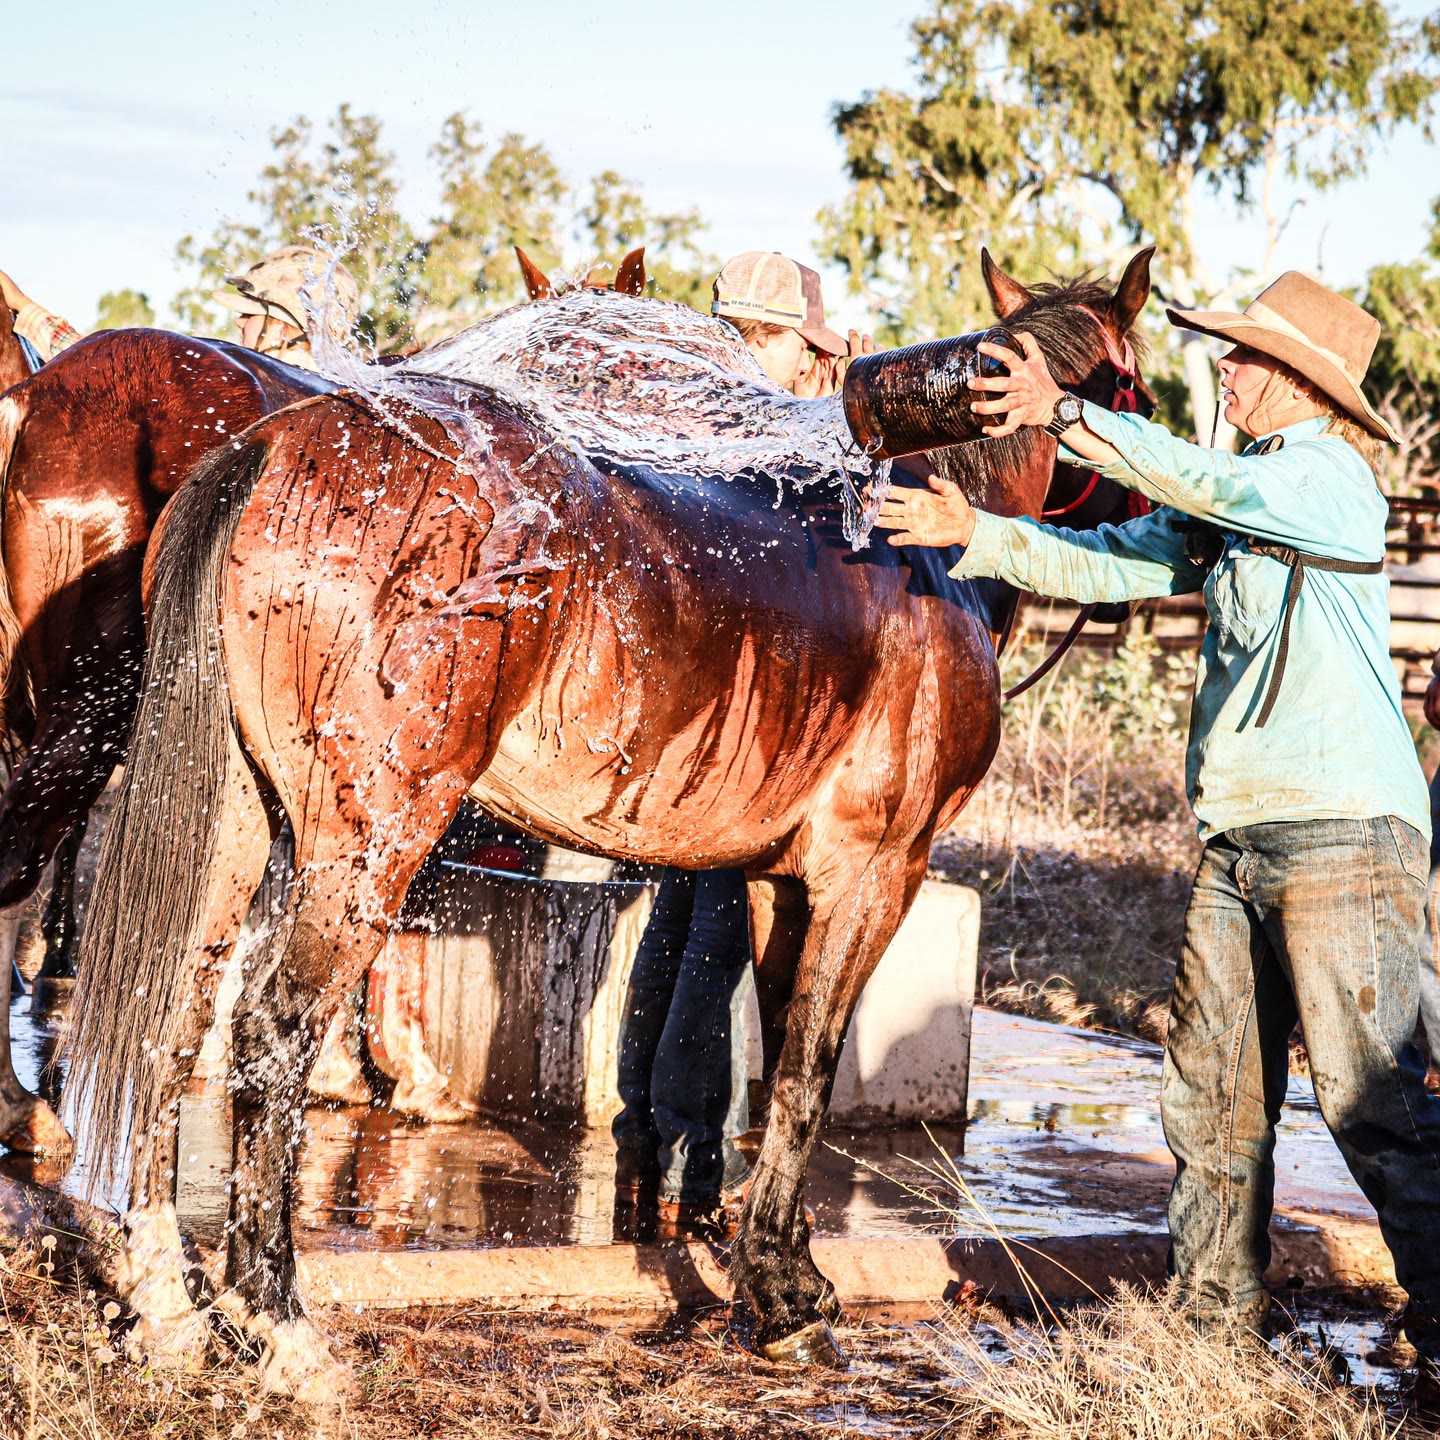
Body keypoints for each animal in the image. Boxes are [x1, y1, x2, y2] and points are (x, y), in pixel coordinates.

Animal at [67, 249, 1153, 1393]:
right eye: (1133, 382)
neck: (918, 551)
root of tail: (275, 445)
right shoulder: (874, 873)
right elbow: (809, 1070)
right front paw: (787, 1297)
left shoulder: (776, 882)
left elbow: (781, 1066)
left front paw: (778, 1277)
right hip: (365, 845)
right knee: (271, 1030)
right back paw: (277, 1319)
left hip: (233, 825)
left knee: (171, 1013)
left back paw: (166, 1300)